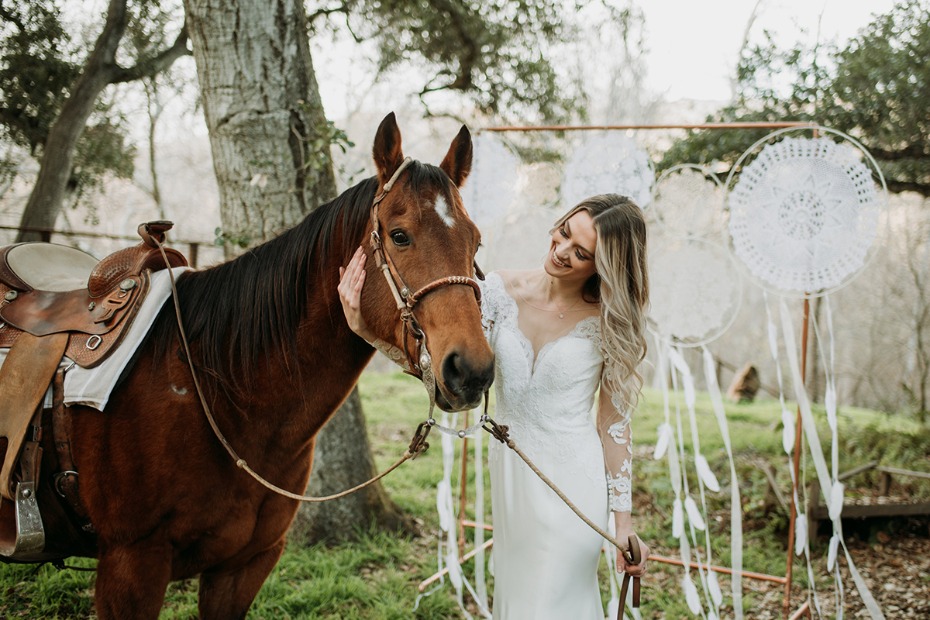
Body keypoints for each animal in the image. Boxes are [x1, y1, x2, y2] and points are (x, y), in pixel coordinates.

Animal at [6, 112, 494, 618]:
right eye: (400, 236)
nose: (470, 369)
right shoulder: (130, 565)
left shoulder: (245, 565)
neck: (216, 388)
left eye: (475, 242)